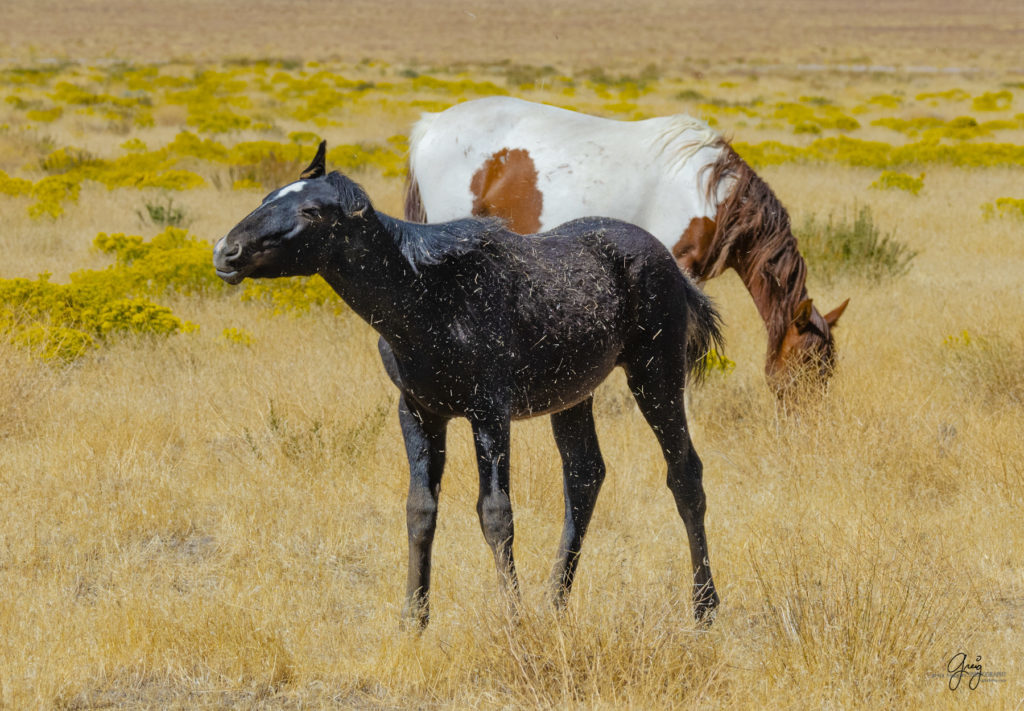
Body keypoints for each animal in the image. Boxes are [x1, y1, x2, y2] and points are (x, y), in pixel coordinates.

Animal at [214, 144, 729, 631]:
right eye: (268, 197)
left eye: (311, 211)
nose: (225, 251)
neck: (431, 298)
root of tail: (671, 264)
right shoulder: (419, 412)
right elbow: (420, 510)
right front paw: (414, 618)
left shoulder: (490, 414)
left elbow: (496, 514)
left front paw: (512, 618)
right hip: (573, 396)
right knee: (584, 477)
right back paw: (555, 602)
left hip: (655, 375)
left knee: (685, 474)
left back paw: (704, 607)